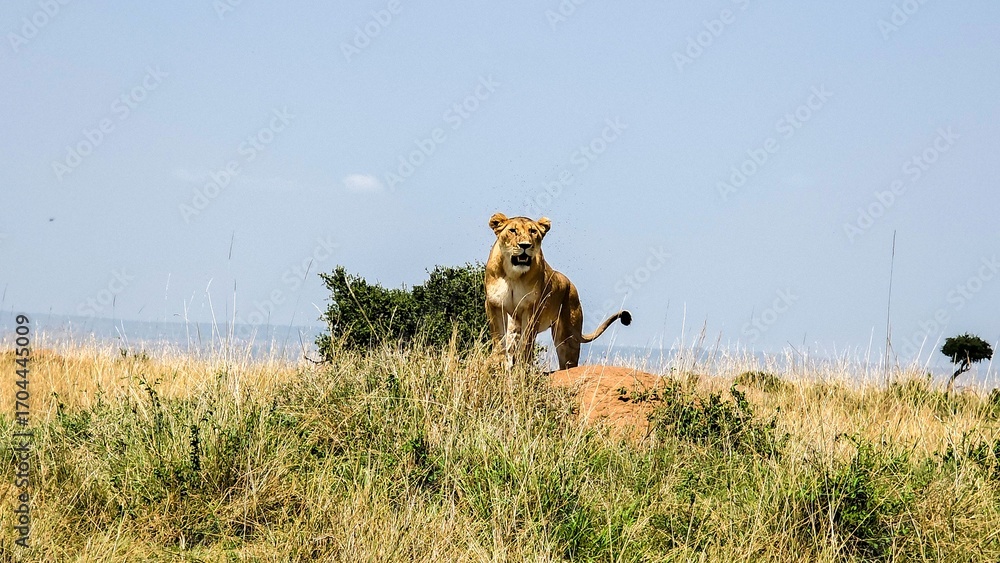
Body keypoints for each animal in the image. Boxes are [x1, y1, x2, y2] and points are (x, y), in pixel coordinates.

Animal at [484, 212, 631, 370]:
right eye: (512, 230)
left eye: (533, 231)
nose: (525, 245)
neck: (513, 274)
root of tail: (571, 285)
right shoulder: (494, 304)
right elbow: (498, 337)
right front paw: (498, 363)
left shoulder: (532, 308)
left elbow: (527, 341)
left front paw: (523, 367)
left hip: (567, 336)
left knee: (567, 361)